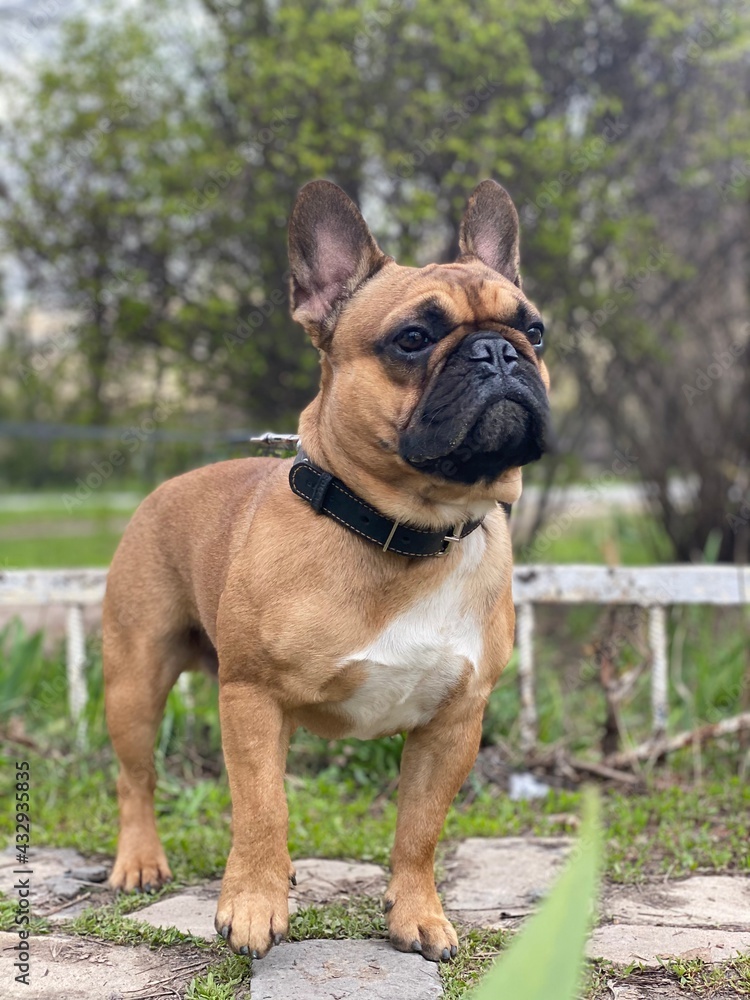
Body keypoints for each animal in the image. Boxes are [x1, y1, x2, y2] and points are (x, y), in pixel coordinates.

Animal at [103, 180, 552, 960]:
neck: (410, 531)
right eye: (413, 338)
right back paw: (140, 861)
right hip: (135, 681)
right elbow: (262, 811)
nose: (500, 350)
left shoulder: (455, 722)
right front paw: (253, 905)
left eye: (538, 330)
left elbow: (419, 829)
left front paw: (417, 913)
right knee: (138, 779)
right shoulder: (253, 697)